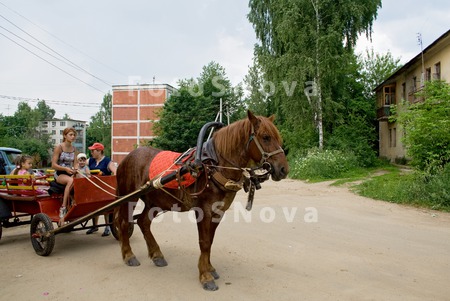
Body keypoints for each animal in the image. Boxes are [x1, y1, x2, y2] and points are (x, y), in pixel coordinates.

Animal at [113, 109, 288, 288]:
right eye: (266, 137)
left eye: (278, 138)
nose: (283, 169)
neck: (213, 166)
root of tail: (127, 157)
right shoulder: (203, 210)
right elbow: (204, 242)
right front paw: (205, 276)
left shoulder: (218, 212)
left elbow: (210, 240)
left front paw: (210, 268)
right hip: (129, 198)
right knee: (124, 222)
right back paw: (129, 255)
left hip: (155, 201)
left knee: (143, 222)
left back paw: (157, 255)